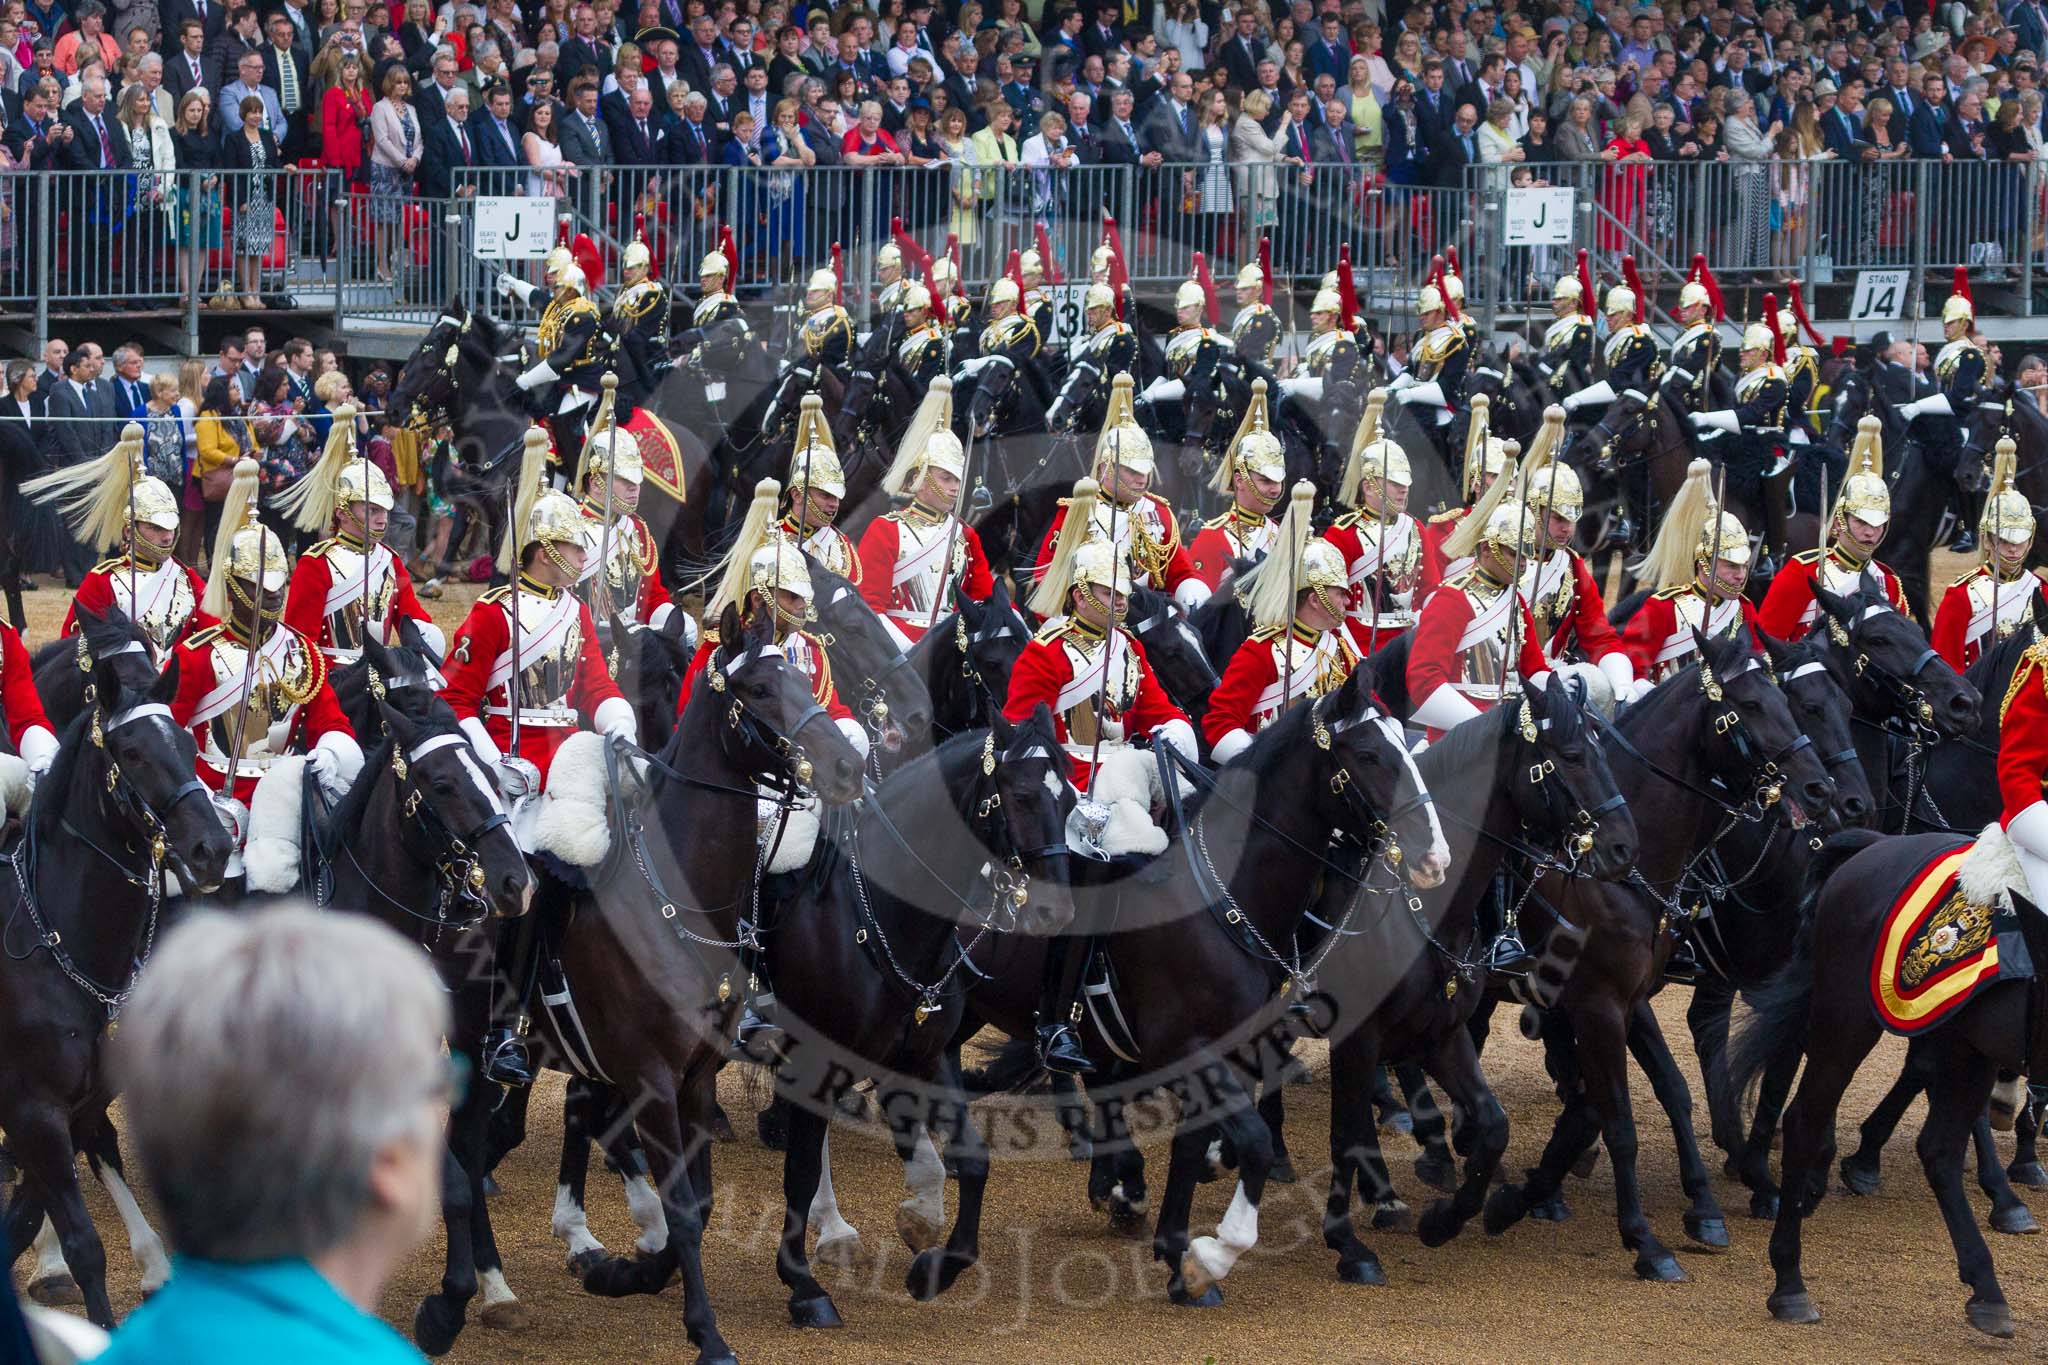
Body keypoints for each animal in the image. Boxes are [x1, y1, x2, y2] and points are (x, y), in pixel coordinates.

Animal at [0, 605, 232, 1326]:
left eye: (185, 743)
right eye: (131, 752)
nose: (213, 847)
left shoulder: (75, 1108)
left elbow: (27, 1215)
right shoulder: (34, 1110)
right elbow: (81, 1245)